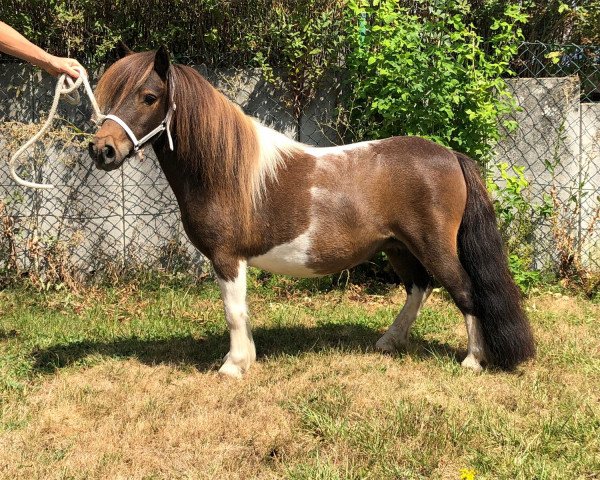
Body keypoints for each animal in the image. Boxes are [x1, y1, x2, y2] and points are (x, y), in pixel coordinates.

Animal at [85, 47, 536, 378]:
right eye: (111, 96)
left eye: (149, 97)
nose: (101, 150)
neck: (228, 171)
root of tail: (450, 155)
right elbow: (242, 310)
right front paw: (247, 358)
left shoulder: (227, 258)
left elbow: (233, 311)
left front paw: (233, 366)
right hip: (398, 246)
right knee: (418, 288)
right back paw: (390, 341)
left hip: (433, 246)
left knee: (463, 290)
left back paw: (472, 360)